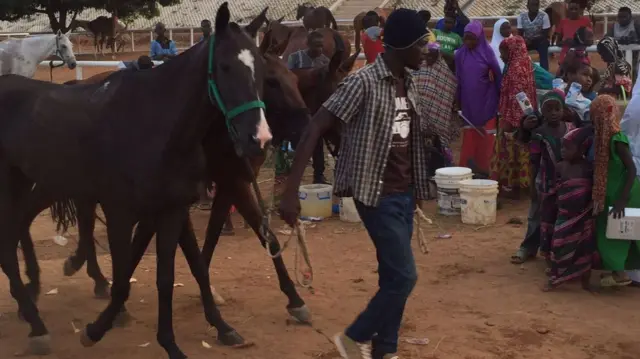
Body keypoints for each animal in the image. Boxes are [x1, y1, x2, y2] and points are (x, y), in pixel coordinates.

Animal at [0, 2, 270, 358]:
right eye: (224, 67)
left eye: (262, 67)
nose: (258, 138)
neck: (153, 125)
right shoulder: (120, 212)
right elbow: (122, 278)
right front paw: (95, 329)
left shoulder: (170, 211)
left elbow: (166, 278)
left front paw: (171, 343)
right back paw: (37, 323)